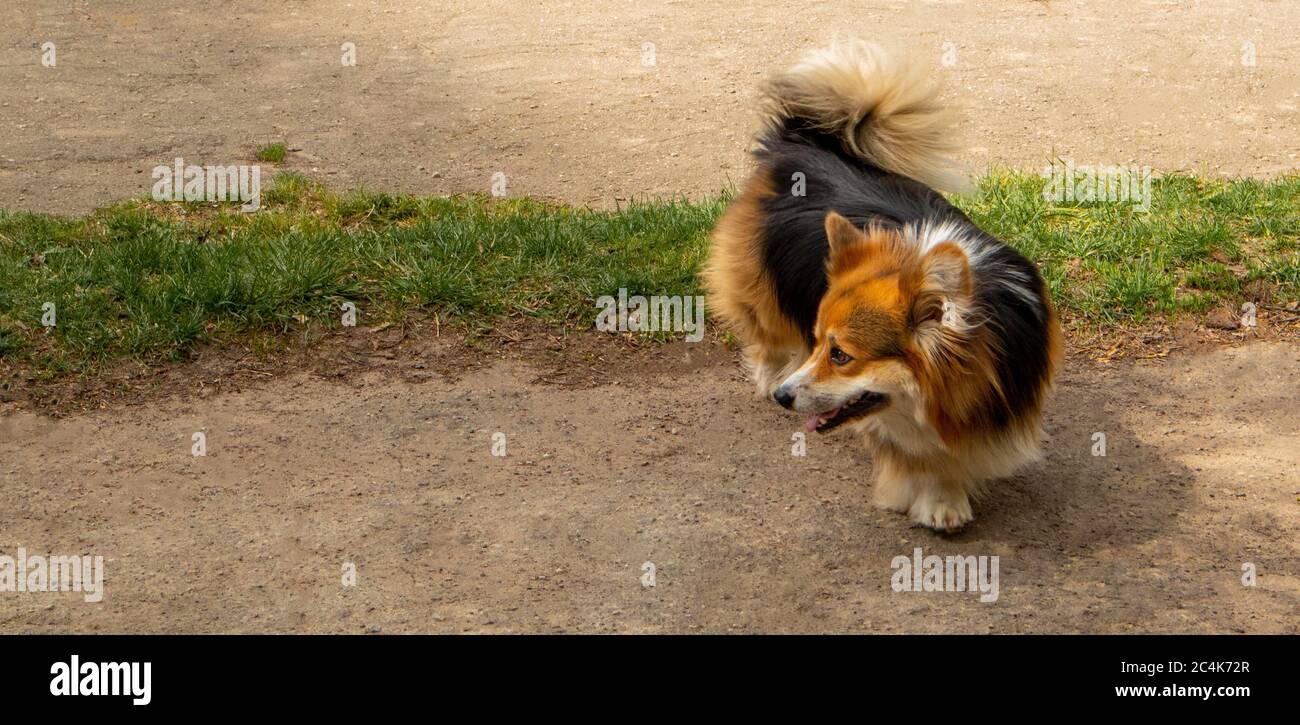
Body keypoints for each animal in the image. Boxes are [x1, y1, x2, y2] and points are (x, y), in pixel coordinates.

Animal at [707, 39, 1060, 535]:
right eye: (820, 343)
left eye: (840, 355)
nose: (784, 398)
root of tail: (803, 139)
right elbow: (921, 460)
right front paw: (940, 500)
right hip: (759, 285)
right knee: (765, 331)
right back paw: (769, 372)